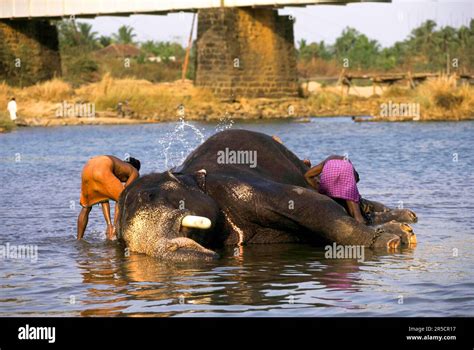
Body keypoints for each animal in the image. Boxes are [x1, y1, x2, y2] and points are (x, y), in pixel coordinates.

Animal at [116, 129, 416, 260]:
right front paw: (394, 236)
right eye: (123, 240)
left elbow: (315, 206)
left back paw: (406, 222)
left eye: (151, 196)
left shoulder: (238, 188)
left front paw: (390, 241)